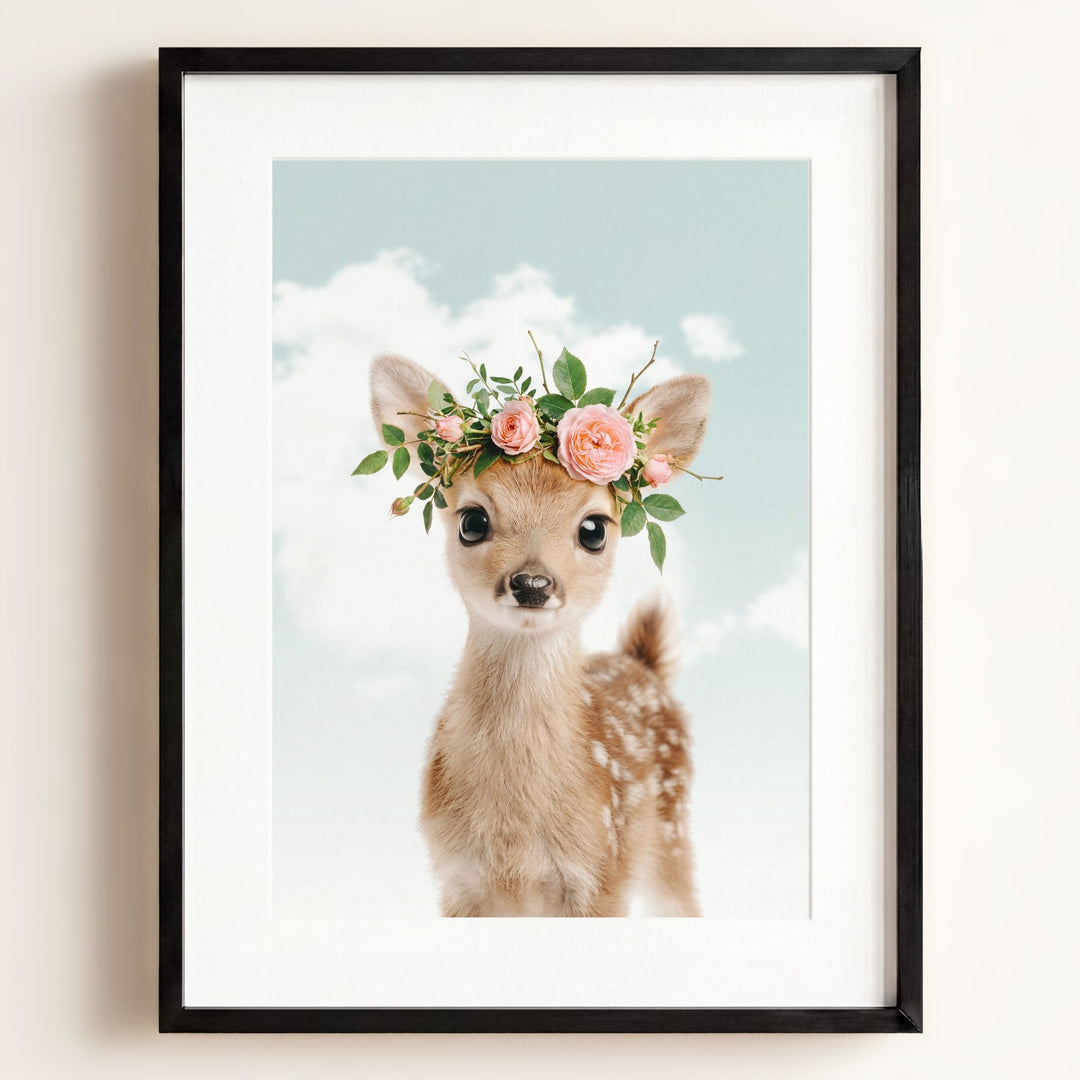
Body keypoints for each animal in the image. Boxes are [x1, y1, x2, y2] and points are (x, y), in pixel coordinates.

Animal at [370, 353, 712, 916]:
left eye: (594, 529)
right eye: (472, 521)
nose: (532, 584)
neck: (514, 835)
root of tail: (642, 663)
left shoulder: (602, 873)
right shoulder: (457, 879)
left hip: (672, 829)